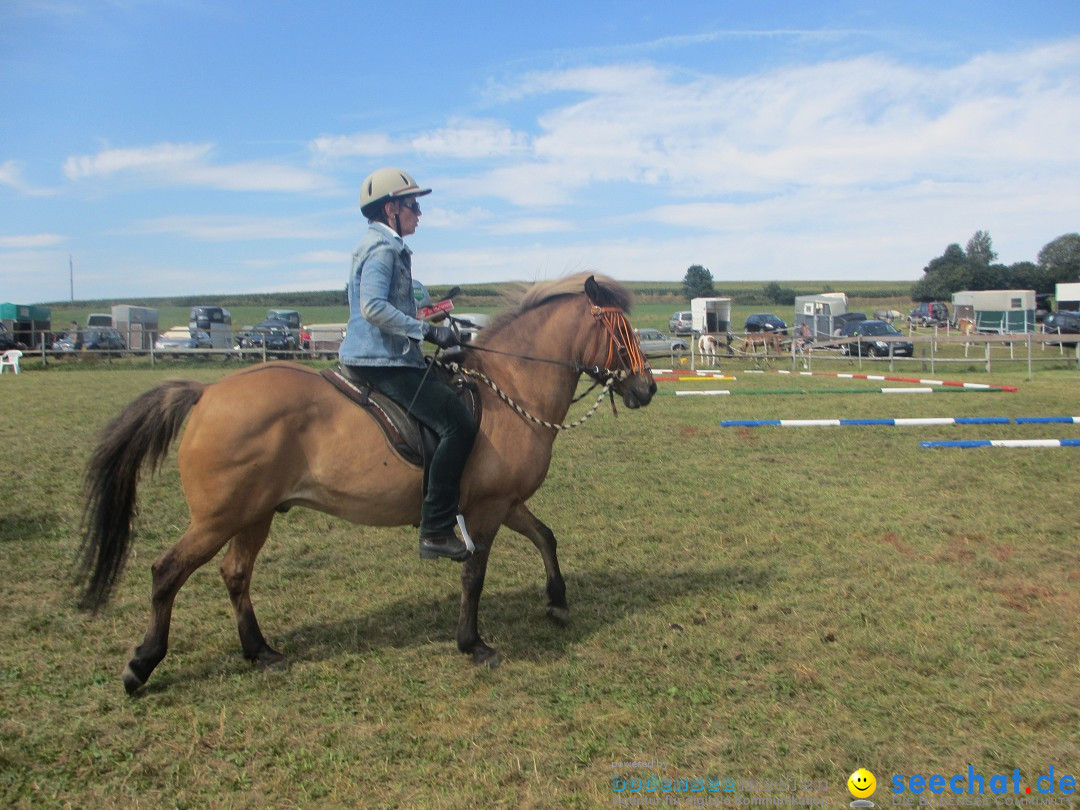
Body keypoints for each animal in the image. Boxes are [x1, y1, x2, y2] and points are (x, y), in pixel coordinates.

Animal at [78, 273, 656, 691]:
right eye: (622, 332)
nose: (647, 389)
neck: (508, 389)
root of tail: (206, 393)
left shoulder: (506, 502)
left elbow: (546, 537)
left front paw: (557, 602)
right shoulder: (488, 509)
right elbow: (473, 575)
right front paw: (474, 644)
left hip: (254, 515)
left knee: (235, 574)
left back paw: (260, 652)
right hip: (219, 517)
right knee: (167, 572)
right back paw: (142, 664)